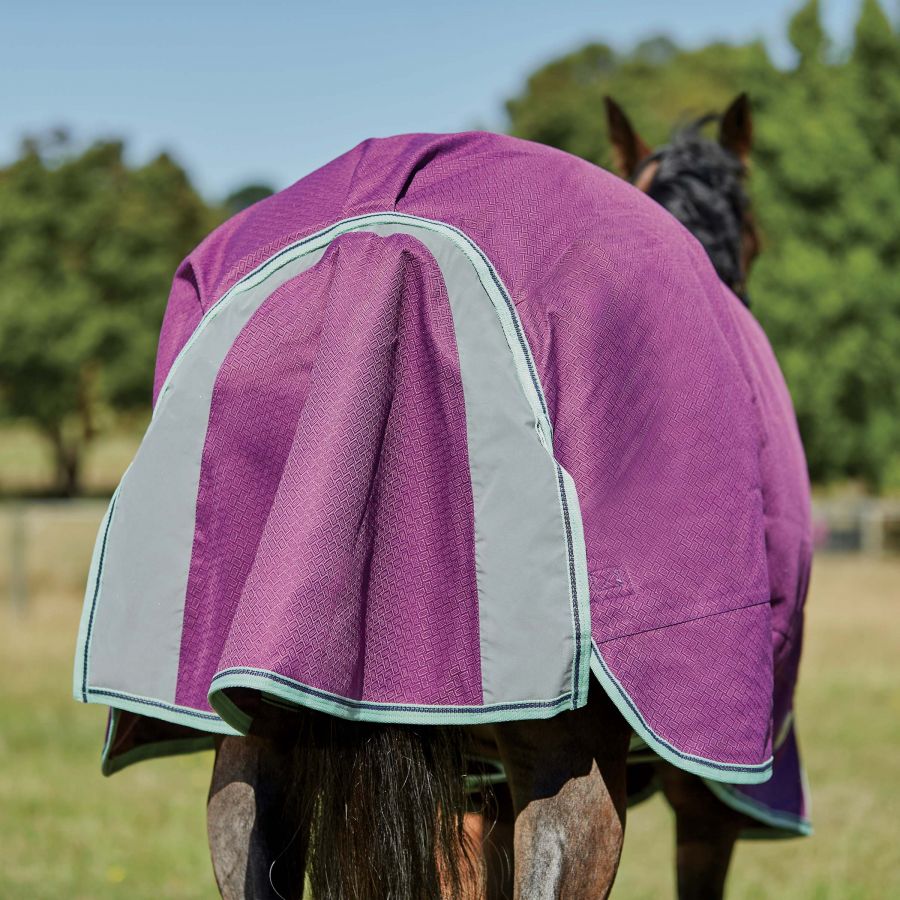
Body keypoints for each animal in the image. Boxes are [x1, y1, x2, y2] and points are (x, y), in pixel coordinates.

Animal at [74, 96, 812, 899]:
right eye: (757, 234)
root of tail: (380, 247)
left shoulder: (467, 791)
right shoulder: (707, 802)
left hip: (256, 746)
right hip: (571, 771)